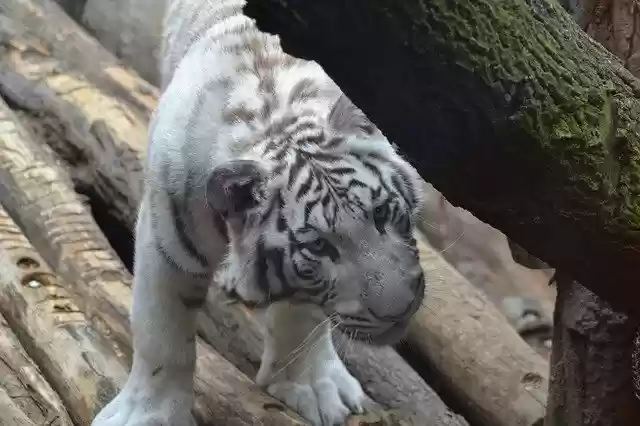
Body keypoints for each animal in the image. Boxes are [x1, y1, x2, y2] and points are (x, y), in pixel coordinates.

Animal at [91, 0, 426, 425]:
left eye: (382, 212)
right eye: (319, 247)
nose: (399, 310)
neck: (274, 117)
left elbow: (302, 316)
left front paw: (313, 387)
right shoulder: (166, 237)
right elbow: (161, 333)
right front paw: (150, 415)